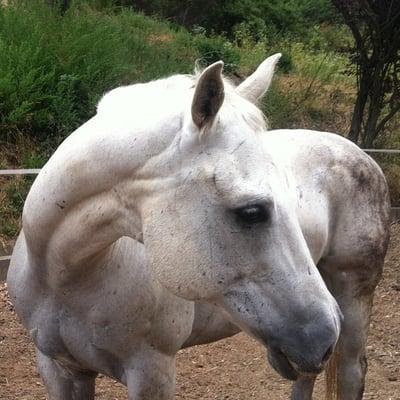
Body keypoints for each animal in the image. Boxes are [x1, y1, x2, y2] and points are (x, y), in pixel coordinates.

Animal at [6, 54, 390, 400]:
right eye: (251, 212)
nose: (325, 332)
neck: (65, 280)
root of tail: (360, 153)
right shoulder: (60, 369)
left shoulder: (152, 372)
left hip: (353, 300)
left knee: (352, 372)